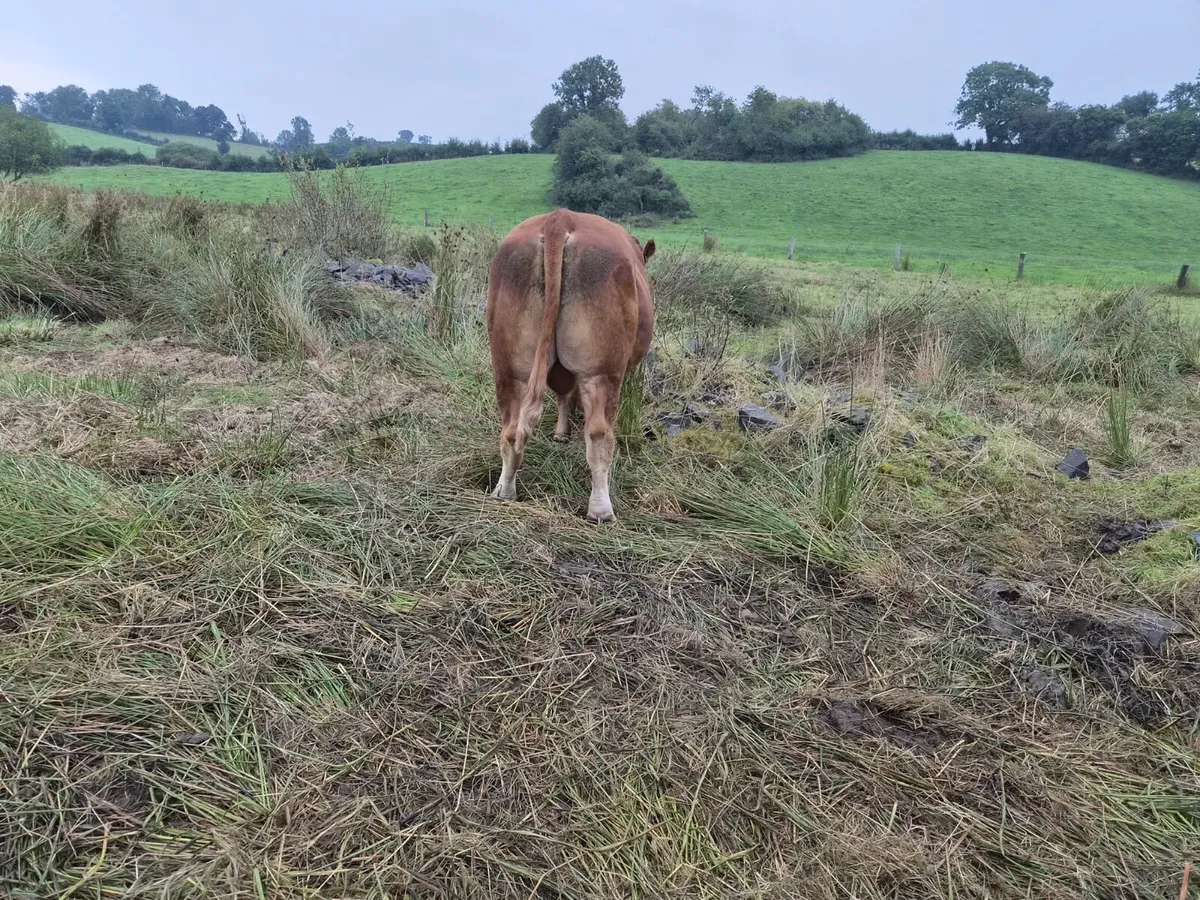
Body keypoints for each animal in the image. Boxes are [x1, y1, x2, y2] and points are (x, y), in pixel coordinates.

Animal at [485, 209, 655, 523]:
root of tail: (559, 219)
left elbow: (564, 394)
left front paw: (561, 432)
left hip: (510, 368)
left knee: (512, 429)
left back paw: (505, 490)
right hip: (601, 371)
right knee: (599, 434)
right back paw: (601, 508)